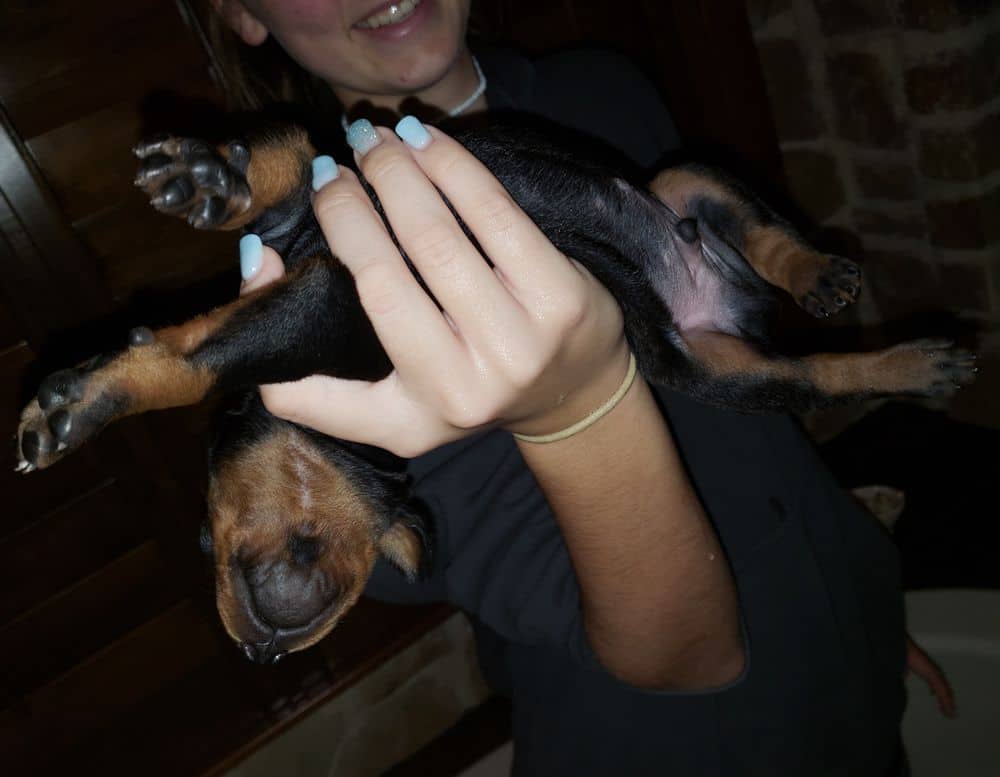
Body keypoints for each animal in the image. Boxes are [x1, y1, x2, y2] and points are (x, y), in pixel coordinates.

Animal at [15, 118, 972, 664]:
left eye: (204, 538)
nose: (261, 660)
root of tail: (727, 295)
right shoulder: (327, 280)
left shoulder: (329, 271)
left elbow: (236, 282)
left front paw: (210, 179)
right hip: (700, 352)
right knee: (799, 355)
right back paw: (876, 333)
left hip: (684, 198)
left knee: (779, 267)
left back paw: (858, 308)